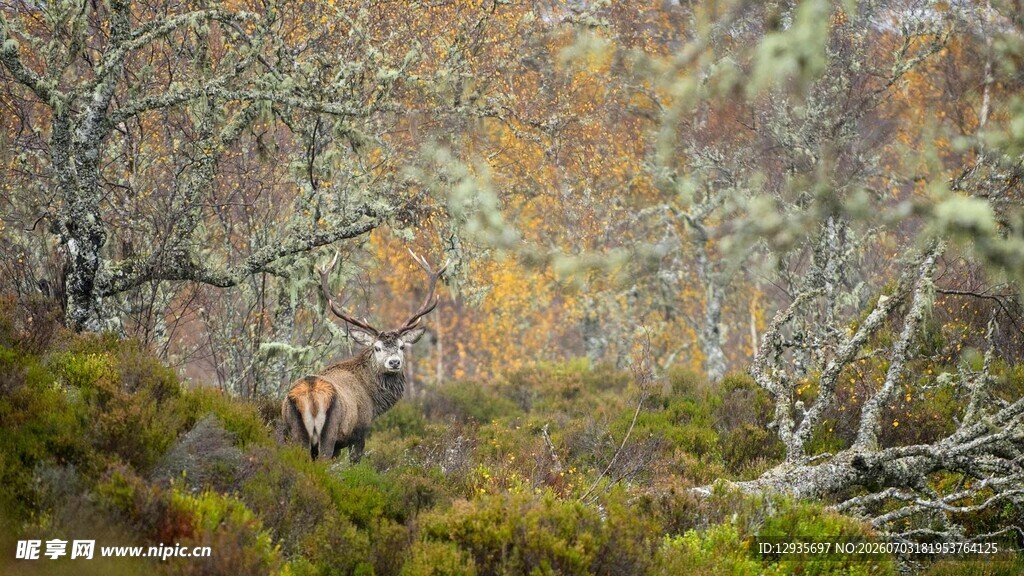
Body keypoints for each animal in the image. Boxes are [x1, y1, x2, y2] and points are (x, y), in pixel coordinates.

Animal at [282, 250, 447, 462]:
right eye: (377, 348)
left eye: (402, 346)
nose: (394, 362)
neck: (373, 400)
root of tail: (310, 394)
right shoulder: (360, 431)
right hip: (329, 432)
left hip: (293, 431)